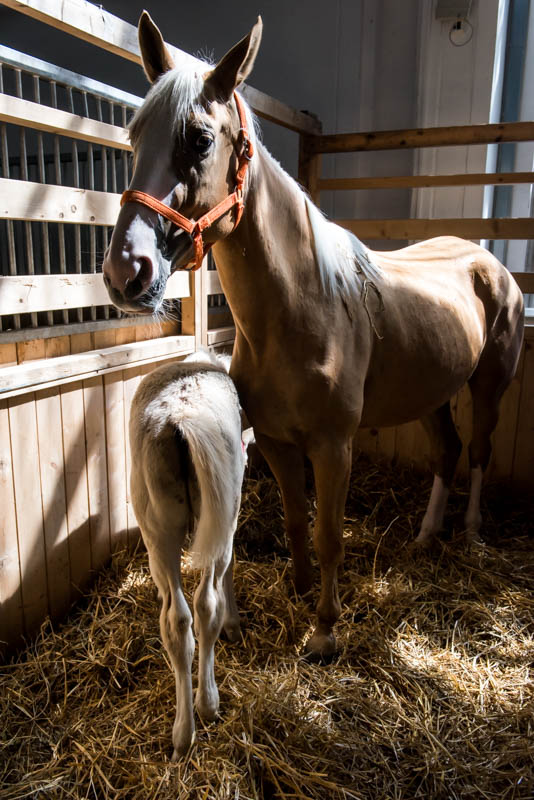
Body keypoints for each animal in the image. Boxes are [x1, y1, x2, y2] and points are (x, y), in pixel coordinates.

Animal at [103, 12, 524, 663]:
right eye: (133, 135)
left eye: (200, 140)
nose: (127, 273)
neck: (301, 313)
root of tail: (486, 260)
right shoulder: (279, 442)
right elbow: (297, 520)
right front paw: (298, 589)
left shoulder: (333, 447)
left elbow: (329, 534)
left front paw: (325, 628)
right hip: (430, 394)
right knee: (447, 452)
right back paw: (427, 535)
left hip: (489, 385)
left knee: (478, 451)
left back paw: (471, 532)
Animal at [129, 350, 248, 758]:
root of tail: (182, 418)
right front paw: (234, 623)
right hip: (219, 510)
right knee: (202, 608)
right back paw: (204, 709)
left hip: (159, 527)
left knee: (180, 618)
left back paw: (186, 728)